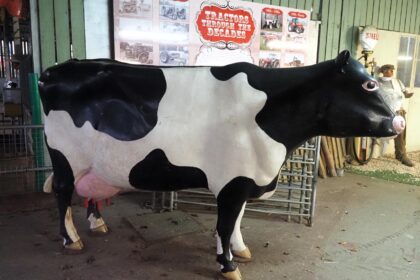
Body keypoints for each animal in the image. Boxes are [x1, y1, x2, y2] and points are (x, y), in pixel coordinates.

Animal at [38, 50, 404, 280]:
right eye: (369, 83)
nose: (398, 122)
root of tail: (55, 69)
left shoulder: (243, 180)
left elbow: (237, 221)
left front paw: (240, 251)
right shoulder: (233, 181)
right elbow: (226, 224)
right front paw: (228, 266)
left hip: (94, 166)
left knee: (89, 191)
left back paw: (97, 223)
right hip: (65, 158)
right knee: (62, 193)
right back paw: (71, 240)